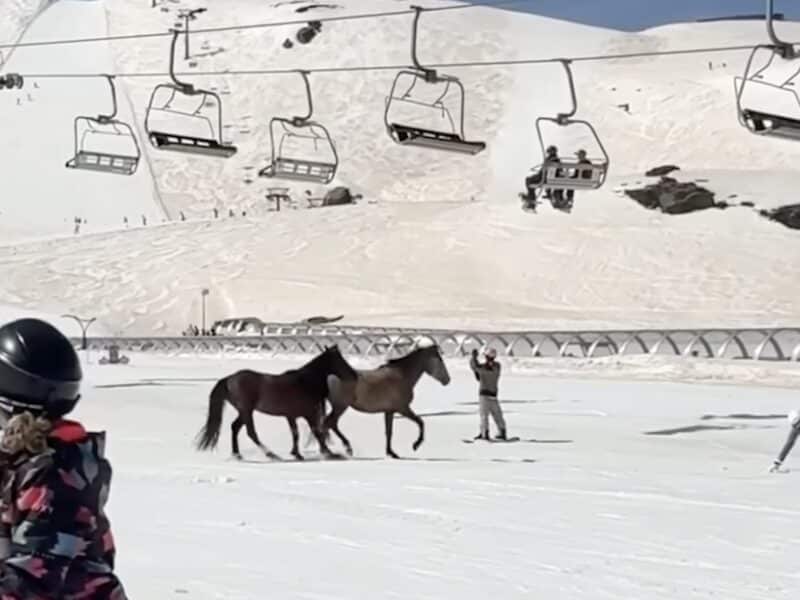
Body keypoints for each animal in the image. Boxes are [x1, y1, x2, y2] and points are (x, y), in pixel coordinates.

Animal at [195, 344, 357, 461]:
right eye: (339, 360)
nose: (354, 375)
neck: (304, 382)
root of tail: (229, 379)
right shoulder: (308, 414)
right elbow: (315, 432)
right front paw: (330, 453)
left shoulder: (292, 416)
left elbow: (296, 434)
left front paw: (297, 454)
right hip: (246, 410)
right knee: (251, 432)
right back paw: (271, 454)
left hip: (244, 411)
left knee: (235, 427)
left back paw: (238, 455)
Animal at [321, 344, 451, 459]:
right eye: (440, 360)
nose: (447, 380)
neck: (401, 375)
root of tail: (330, 376)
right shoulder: (403, 409)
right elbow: (420, 422)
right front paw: (416, 445)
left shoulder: (389, 411)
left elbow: (389, 432)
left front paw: (391, 453)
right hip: (340, 407)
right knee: (329, 423)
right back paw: (337, 450)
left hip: (339, 407)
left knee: (330, 424)